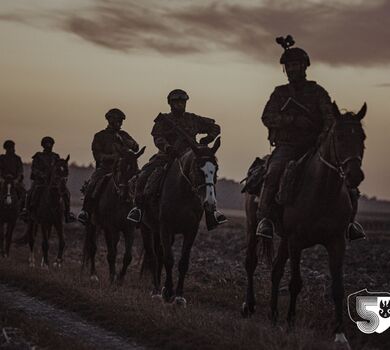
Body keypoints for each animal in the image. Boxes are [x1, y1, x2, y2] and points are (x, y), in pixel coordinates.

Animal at [82, 146, 145, 284]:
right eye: (119, 168)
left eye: (135, 170)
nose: (124, 194)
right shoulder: (110, 228)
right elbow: (111, 254)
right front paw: (112, 277)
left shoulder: (129, 229)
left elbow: (128, 256)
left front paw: (120, 279)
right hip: (92, 225)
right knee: (92, 248)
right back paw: (93, 274)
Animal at [142, 137, 221, 306]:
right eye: (198, 169)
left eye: (216, 169)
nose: (210, 203)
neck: (183, 193)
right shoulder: (166, 228)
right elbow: (169, 259)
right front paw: (168, 293)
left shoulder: (191, 230)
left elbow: (183, 262)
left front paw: (178, 296)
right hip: (146, 228)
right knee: (153, 256)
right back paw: (156, 291)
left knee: (159, 254)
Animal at [242, 102, 368, 346]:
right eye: (339, 136)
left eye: (362, 137)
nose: (354, 175)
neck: (323, 194)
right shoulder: (297, 242)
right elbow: (295, 283)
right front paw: (291, 325)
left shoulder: (337, 242)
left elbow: (338, 288)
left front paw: (340, 335)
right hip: (254, 228)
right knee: (251, 262)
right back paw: (249, 306)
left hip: (284, 240)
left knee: (276, 270)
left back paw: (273, 316)